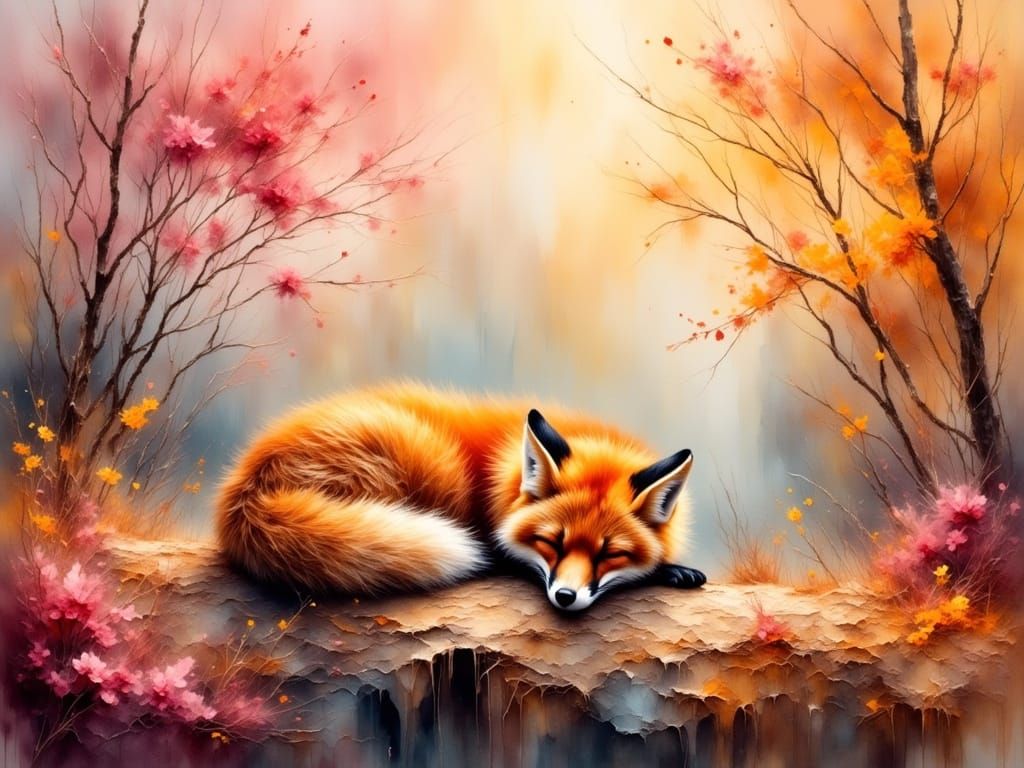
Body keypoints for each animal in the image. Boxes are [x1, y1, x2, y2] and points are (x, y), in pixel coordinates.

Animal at [215, 381, 706, 612]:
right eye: (552, 542)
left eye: (610, 554)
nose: (565, 597)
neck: (502, 477)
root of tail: (244, 487)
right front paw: (667, 571)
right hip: (425, 459)